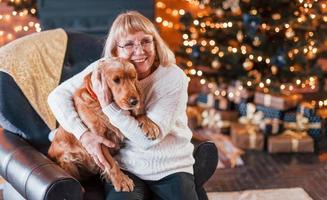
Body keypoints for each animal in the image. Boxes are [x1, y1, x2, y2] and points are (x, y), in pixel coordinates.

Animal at [48, 57, 160, 191]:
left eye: (133, 77)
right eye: (116, 80)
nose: (135, 101)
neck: (100, 104)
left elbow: (138, 115)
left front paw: (150, 125)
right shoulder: (98, 140)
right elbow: (111, 164)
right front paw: (122, 181)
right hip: (68, 158)